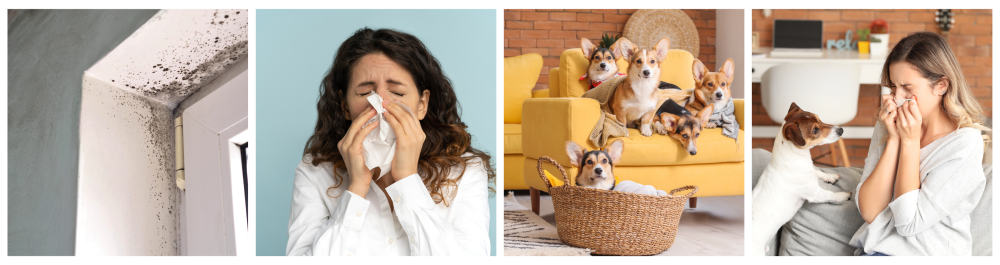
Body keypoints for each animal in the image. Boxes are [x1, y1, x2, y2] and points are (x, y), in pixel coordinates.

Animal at [752, 102, 852, 255]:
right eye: (815, 130)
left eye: (819, 118)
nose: (841, 130)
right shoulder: (815, 194)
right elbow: (831, 195)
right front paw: (844, 195)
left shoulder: (811, 171)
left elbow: (818, 172)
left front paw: (831, 176)